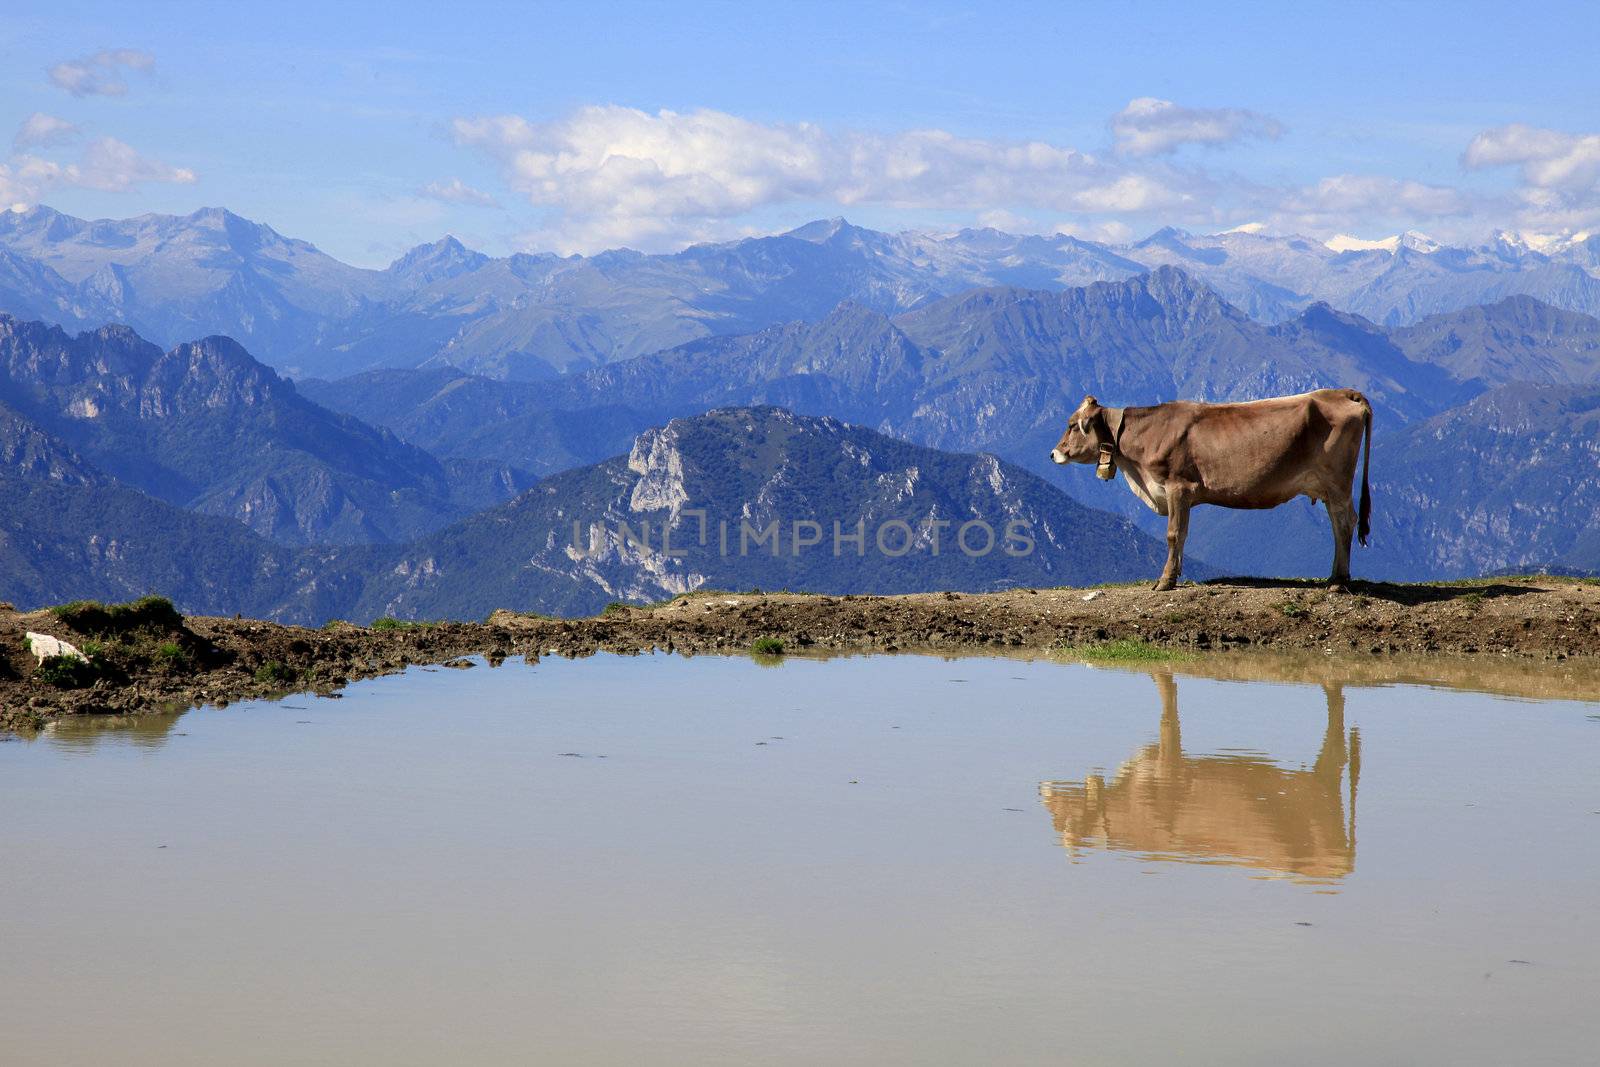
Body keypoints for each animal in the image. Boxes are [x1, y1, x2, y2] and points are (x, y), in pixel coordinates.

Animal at [1049, 390, 1376, 591]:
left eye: (1071, 425)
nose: (1053, 454)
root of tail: (1342, 392)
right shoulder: (1183, 494)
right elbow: (1182, 535)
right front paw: (1176, 574)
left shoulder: (1178, 486)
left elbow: (1174, 534)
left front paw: (1165, 581)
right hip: (1329, 486)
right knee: (1337, 524)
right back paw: (1334, 575)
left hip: (1338, 481)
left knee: (1345, 522)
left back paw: (1339, 581)